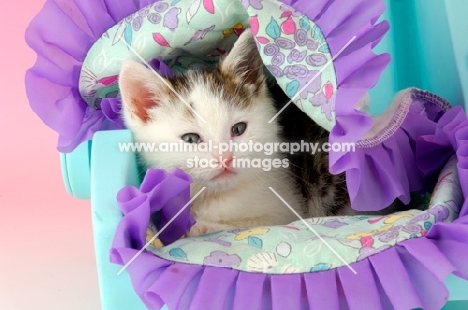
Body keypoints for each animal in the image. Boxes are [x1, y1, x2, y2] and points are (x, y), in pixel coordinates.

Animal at [119, 30, 306, 236]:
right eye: (191, 138)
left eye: (238, 129)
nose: (225, 159)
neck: (215, 197)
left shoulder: (286, 211)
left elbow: (253, 225)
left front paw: (198, 227)